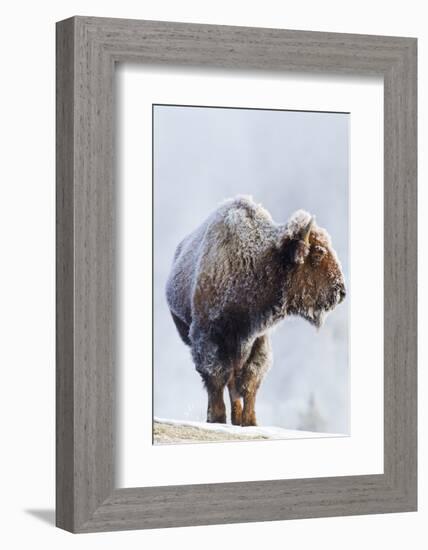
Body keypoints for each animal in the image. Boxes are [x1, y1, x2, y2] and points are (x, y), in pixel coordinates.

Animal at [166, 196, 346, 430]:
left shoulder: (257, 340)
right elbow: (216, 378)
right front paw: (217, 419)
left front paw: (250, 422)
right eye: (318, 253)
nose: (341, 291)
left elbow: (250, 381)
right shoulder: (208, 337)